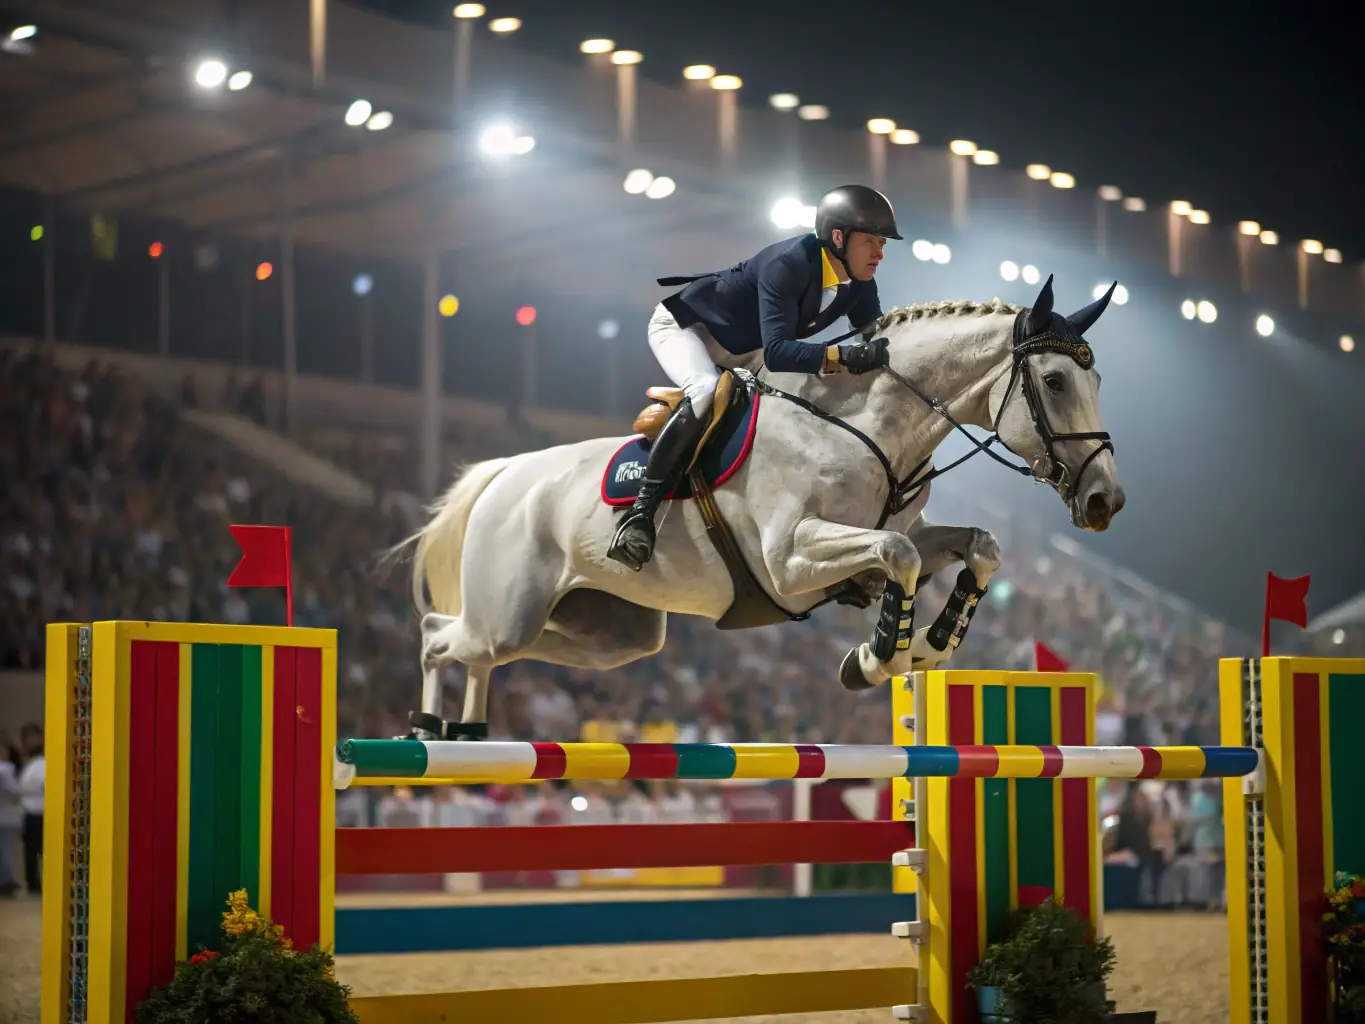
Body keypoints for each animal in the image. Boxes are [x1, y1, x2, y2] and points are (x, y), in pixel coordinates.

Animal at [402, 276, 1124, 733]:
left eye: (1095, 380)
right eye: (1054, 381)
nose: (1105, 501)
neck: (865, 427)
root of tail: (504, 475)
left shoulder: (897, 536)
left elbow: (978, 547)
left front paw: (926, 644)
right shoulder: (788, 561)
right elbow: (897, 556)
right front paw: (879, 658)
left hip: (607, 634)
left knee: (489, 656)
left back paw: (469, 730)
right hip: (509, 611)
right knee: (441, 636)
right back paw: (428, 726)